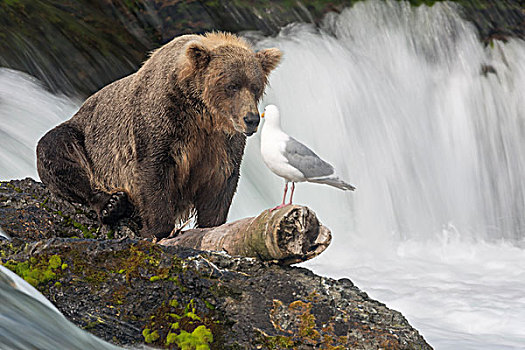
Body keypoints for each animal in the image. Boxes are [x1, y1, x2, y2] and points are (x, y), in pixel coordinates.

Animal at [35, 32, 282, 238]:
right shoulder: (162, 123)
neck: (201, 115)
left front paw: (211, 225)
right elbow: (154, 172)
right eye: (232, 85)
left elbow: (221, 181)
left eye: (255, 86)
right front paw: (157, 230)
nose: (251, 119)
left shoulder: (221, 142)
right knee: (57, 150)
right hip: (83, 135)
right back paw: (112, 203)